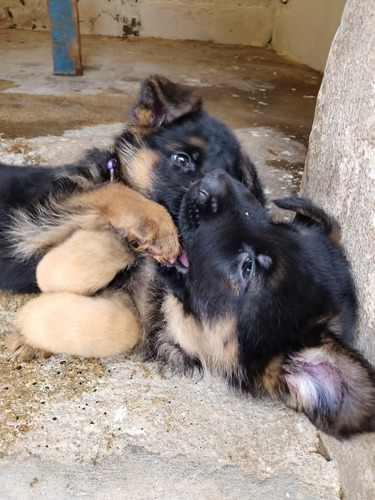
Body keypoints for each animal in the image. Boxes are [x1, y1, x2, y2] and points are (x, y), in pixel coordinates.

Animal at [0, 75, 375, 438]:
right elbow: (113, 193)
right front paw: (155, 226)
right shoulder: (38, 225)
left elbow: (123, 323)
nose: (216, 183)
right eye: (182, 160)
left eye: (248, 268)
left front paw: (34, 328)